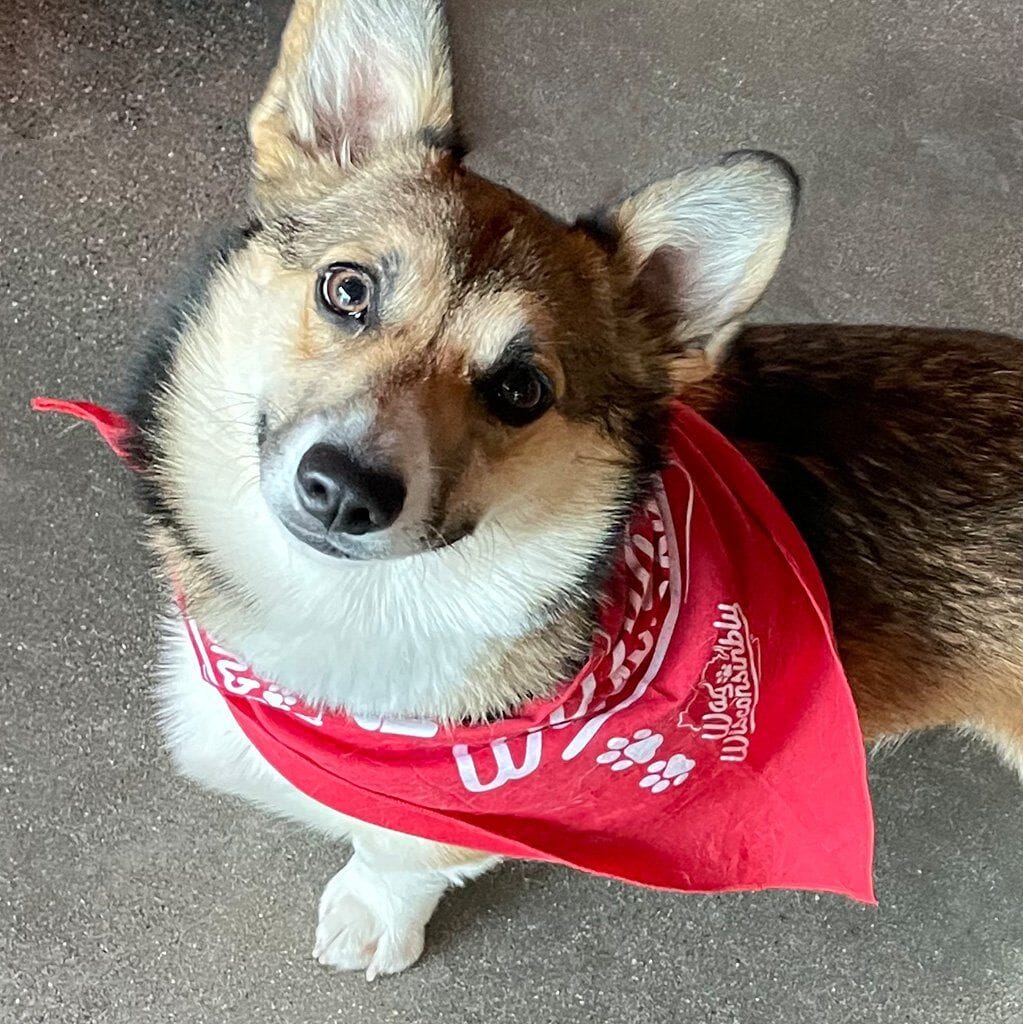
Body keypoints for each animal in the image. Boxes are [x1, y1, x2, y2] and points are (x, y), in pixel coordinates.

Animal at [56, 0, 1023, 978]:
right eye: (347, 288)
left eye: (521, 390)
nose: (345, 489)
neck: (353, 612)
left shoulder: (440, 826)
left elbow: (402, 857)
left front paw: (372, 916)